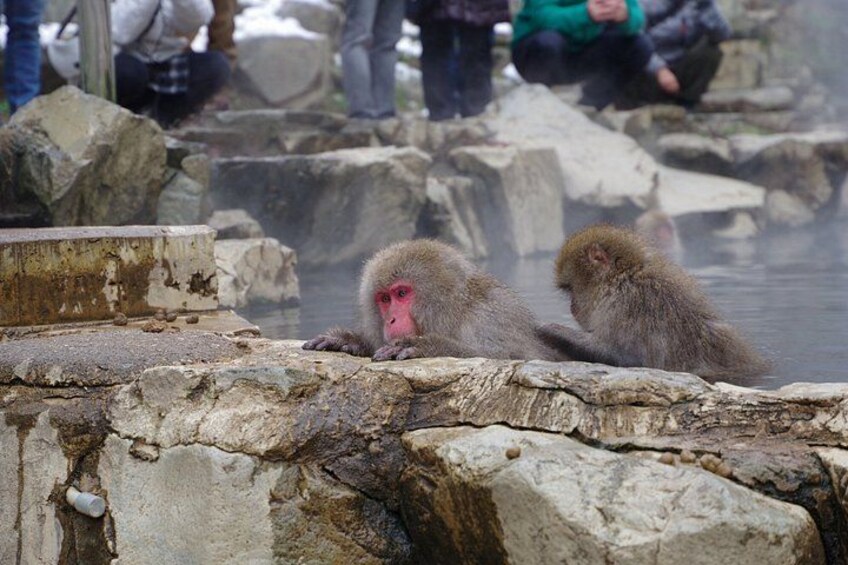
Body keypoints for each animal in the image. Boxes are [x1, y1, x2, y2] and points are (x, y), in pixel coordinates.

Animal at [302, 239, 567, 362]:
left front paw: (429, 346)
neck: (456, 313)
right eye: (385, 298)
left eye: (402, 293)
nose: (391, 320)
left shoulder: (491, 318)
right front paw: (349, 341)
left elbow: (516, 358)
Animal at [538, 224, 771, 379]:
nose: (573, 307)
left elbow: (626, 357)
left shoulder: (625, 305)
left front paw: (555, 331)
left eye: (570, 289)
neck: (622, 276)